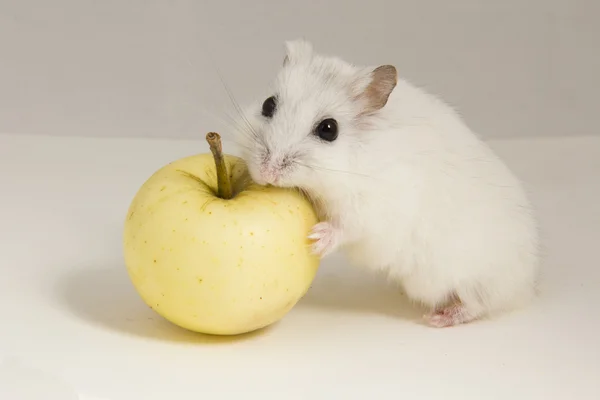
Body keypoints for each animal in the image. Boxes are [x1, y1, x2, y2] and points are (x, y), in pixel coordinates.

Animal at [233, 39, 540, 328]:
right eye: (268, 105)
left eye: (329, 129)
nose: (267, 173)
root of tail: (529, 281)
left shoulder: (371, 211)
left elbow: (345, 228)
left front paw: (317, 239)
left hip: (467, 279)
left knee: (477, 304)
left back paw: (438, 318)